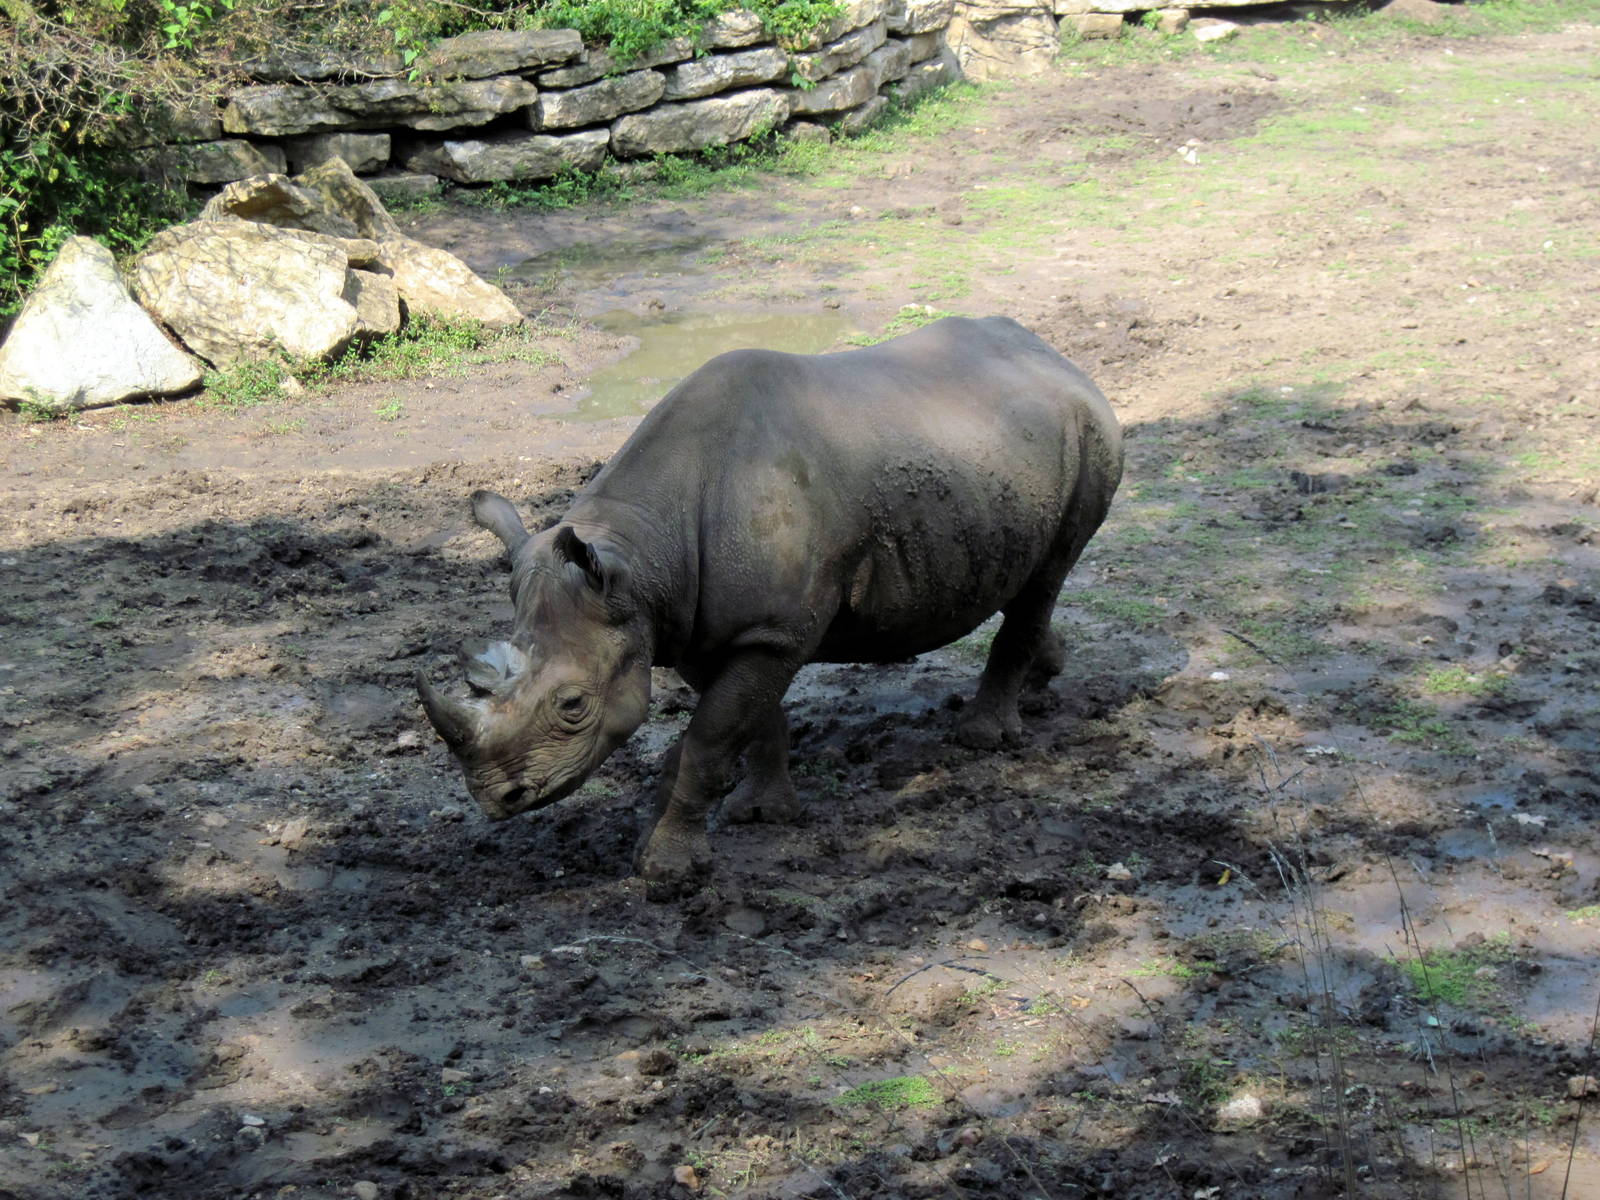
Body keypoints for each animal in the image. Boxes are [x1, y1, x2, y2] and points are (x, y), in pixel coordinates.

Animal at [418, 316, 1123, 892]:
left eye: (572, 706)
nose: (497, 799)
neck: (640, 561)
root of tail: (1057, 357)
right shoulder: (698, 624)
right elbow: (752, 721)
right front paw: (763, 813)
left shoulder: (770, 630)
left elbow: (710, 737)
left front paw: (667, 871)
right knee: (1030, 583)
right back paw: (1046, 676)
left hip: (1090, 433)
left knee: (1050, 574)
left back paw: (983, 739)